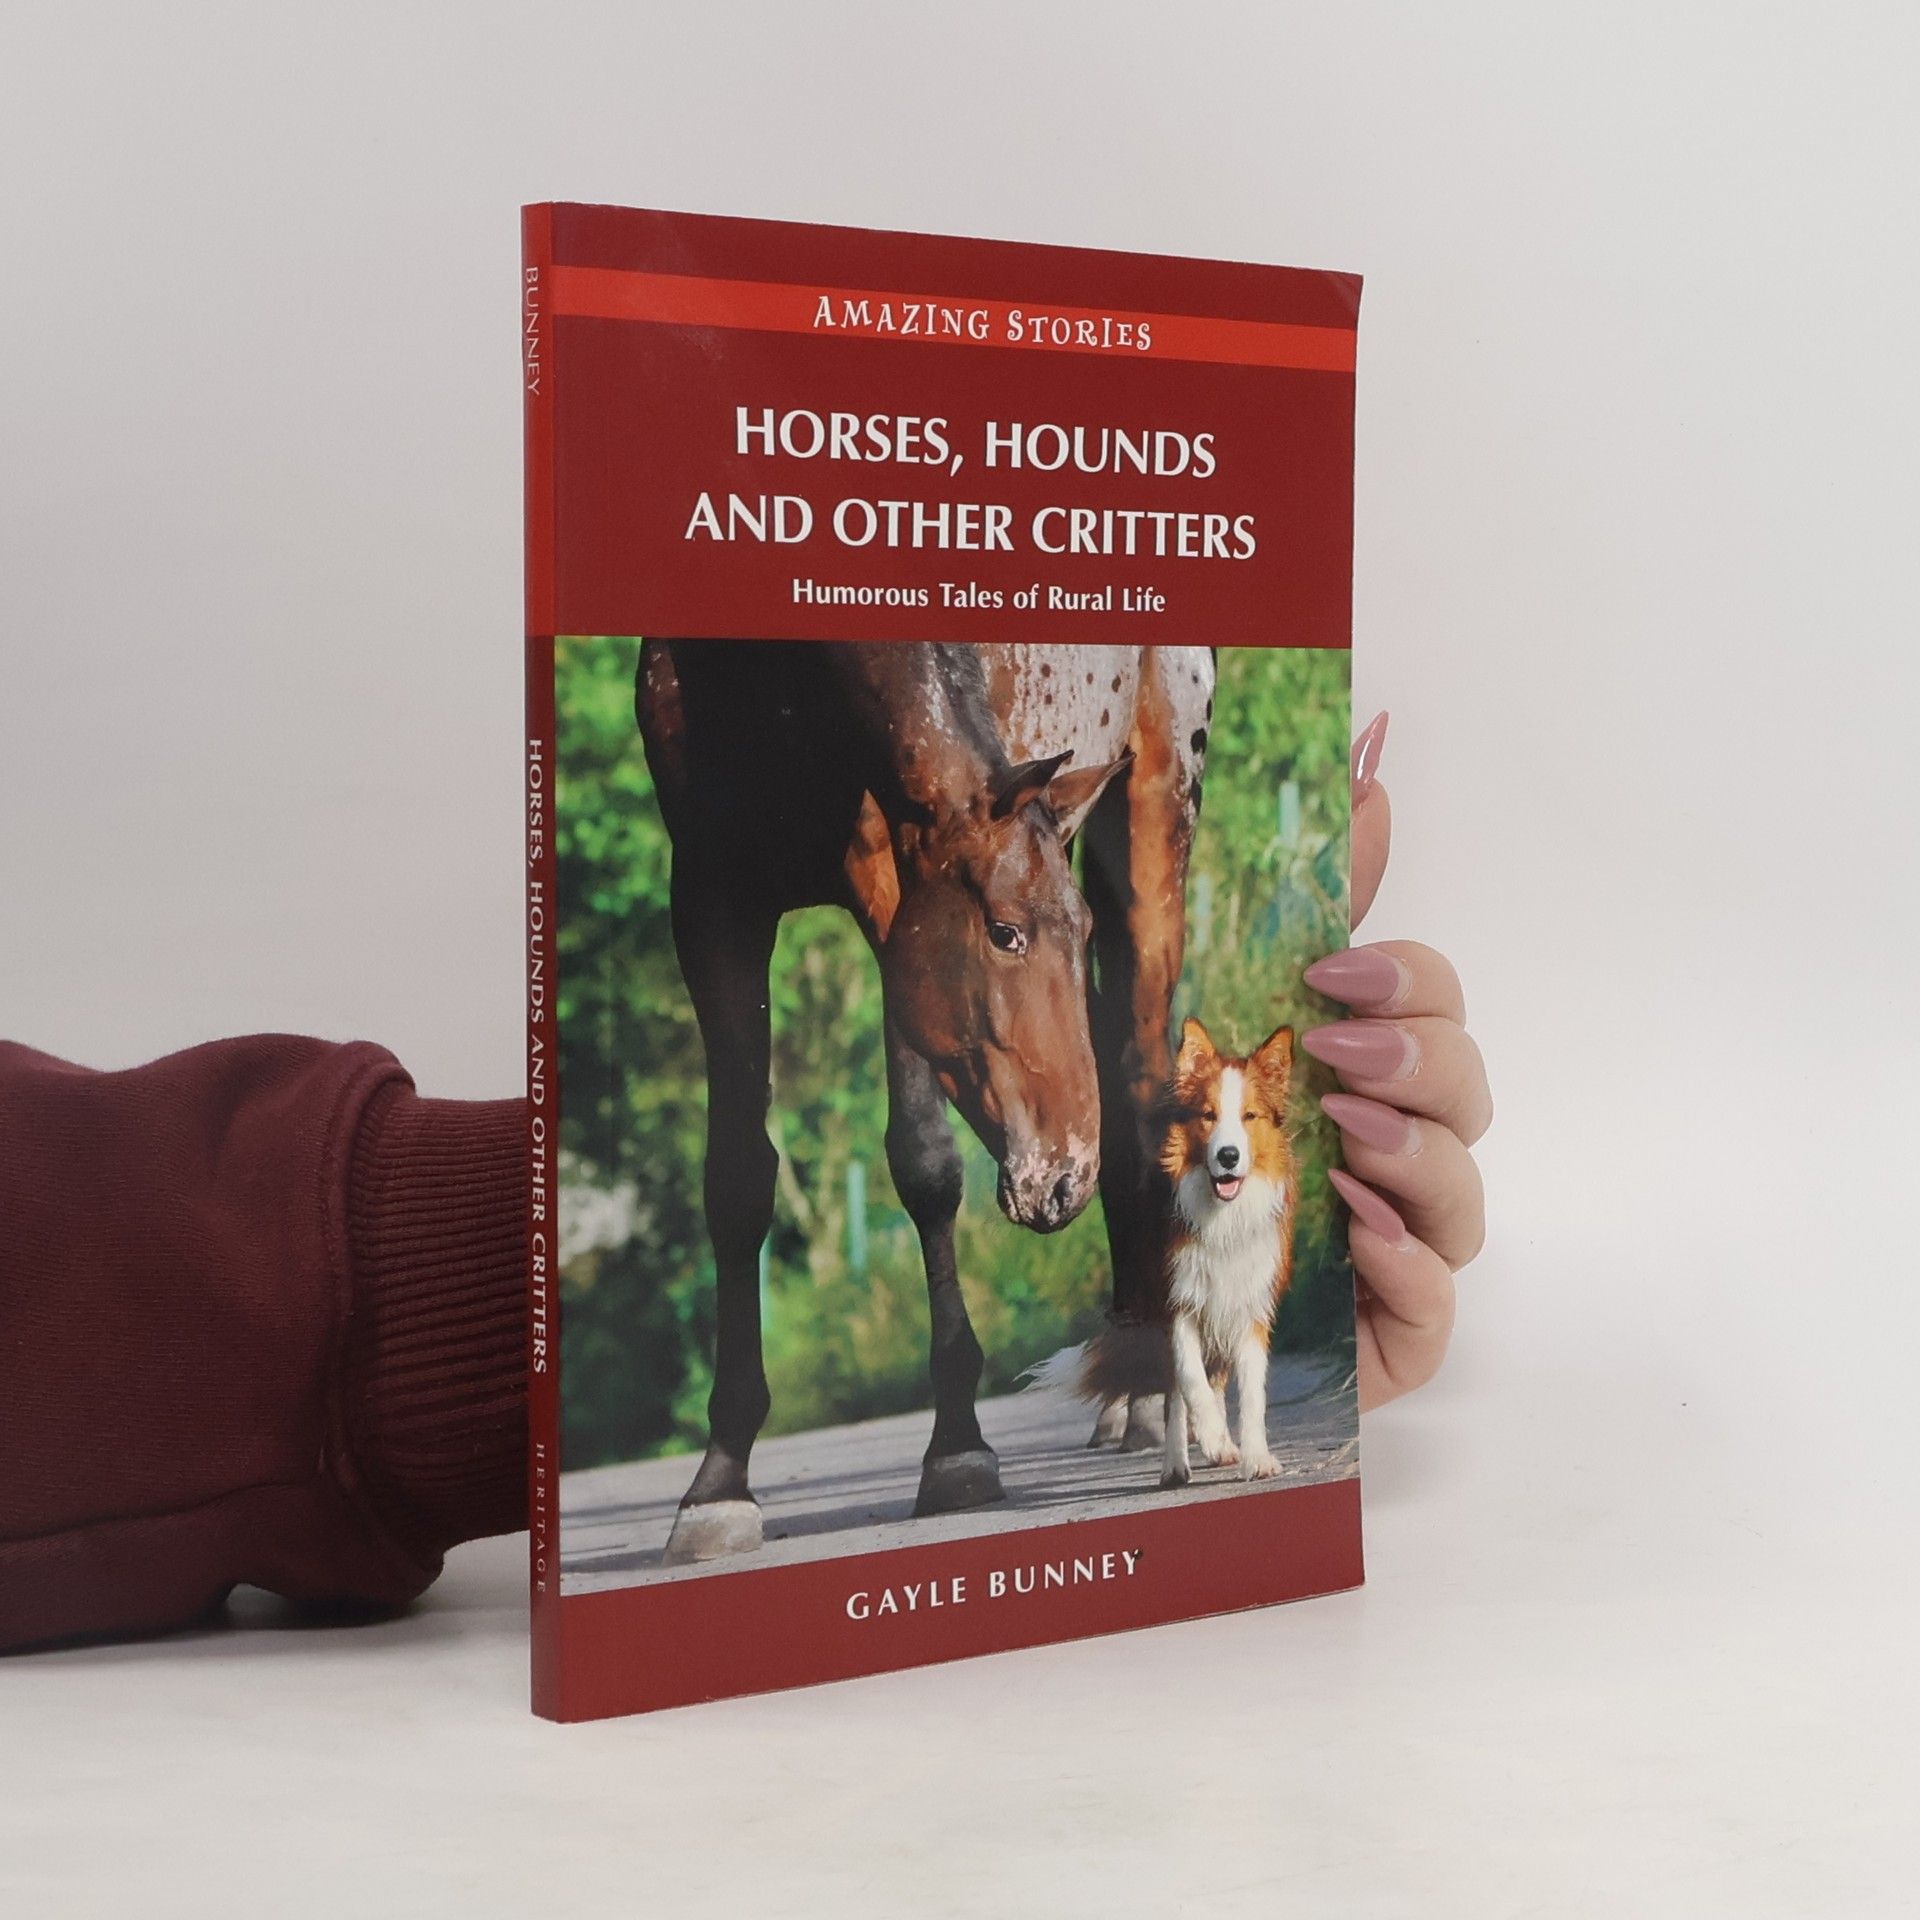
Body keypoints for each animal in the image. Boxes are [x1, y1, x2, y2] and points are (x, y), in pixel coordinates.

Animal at [636, 639, 1212, 1563]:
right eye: (1006, 932)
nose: (1060, 1179)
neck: (776, 676)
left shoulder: (890, 888)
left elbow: (925, 1164)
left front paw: (957, 1450)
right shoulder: (710, 900)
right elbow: (737, 1181)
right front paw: (719, 1482)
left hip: (1156, 822)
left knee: (1136, 1073)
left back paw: (1154, 1386)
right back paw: (1126, 1383)